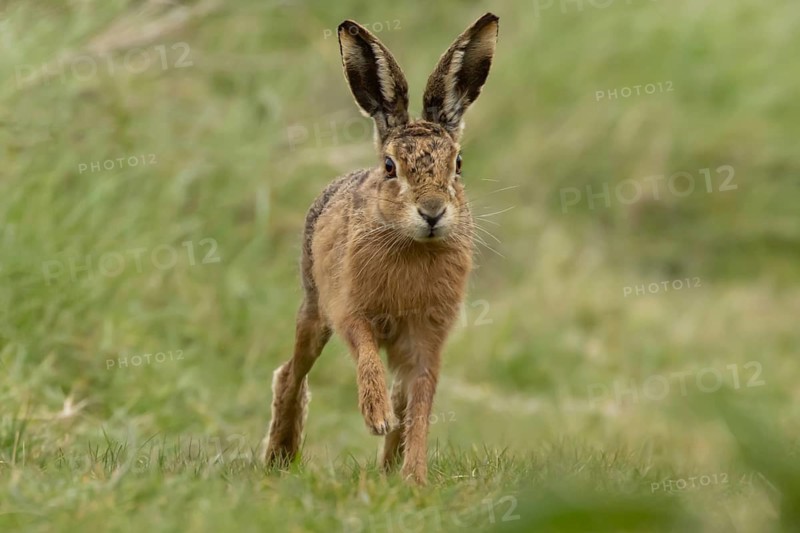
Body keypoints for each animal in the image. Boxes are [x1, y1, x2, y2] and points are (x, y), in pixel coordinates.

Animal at [263, 12, 499, 485]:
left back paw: (389, 469)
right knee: (292, 374)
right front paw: (376, 418)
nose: (432, 212)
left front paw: (416, 479)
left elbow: (421, 404)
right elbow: (366, 355)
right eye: (390, 167)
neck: (411, 244)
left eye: (458, 164)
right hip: (314, 309)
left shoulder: (428, 338)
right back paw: (279, 456)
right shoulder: (350, 309)